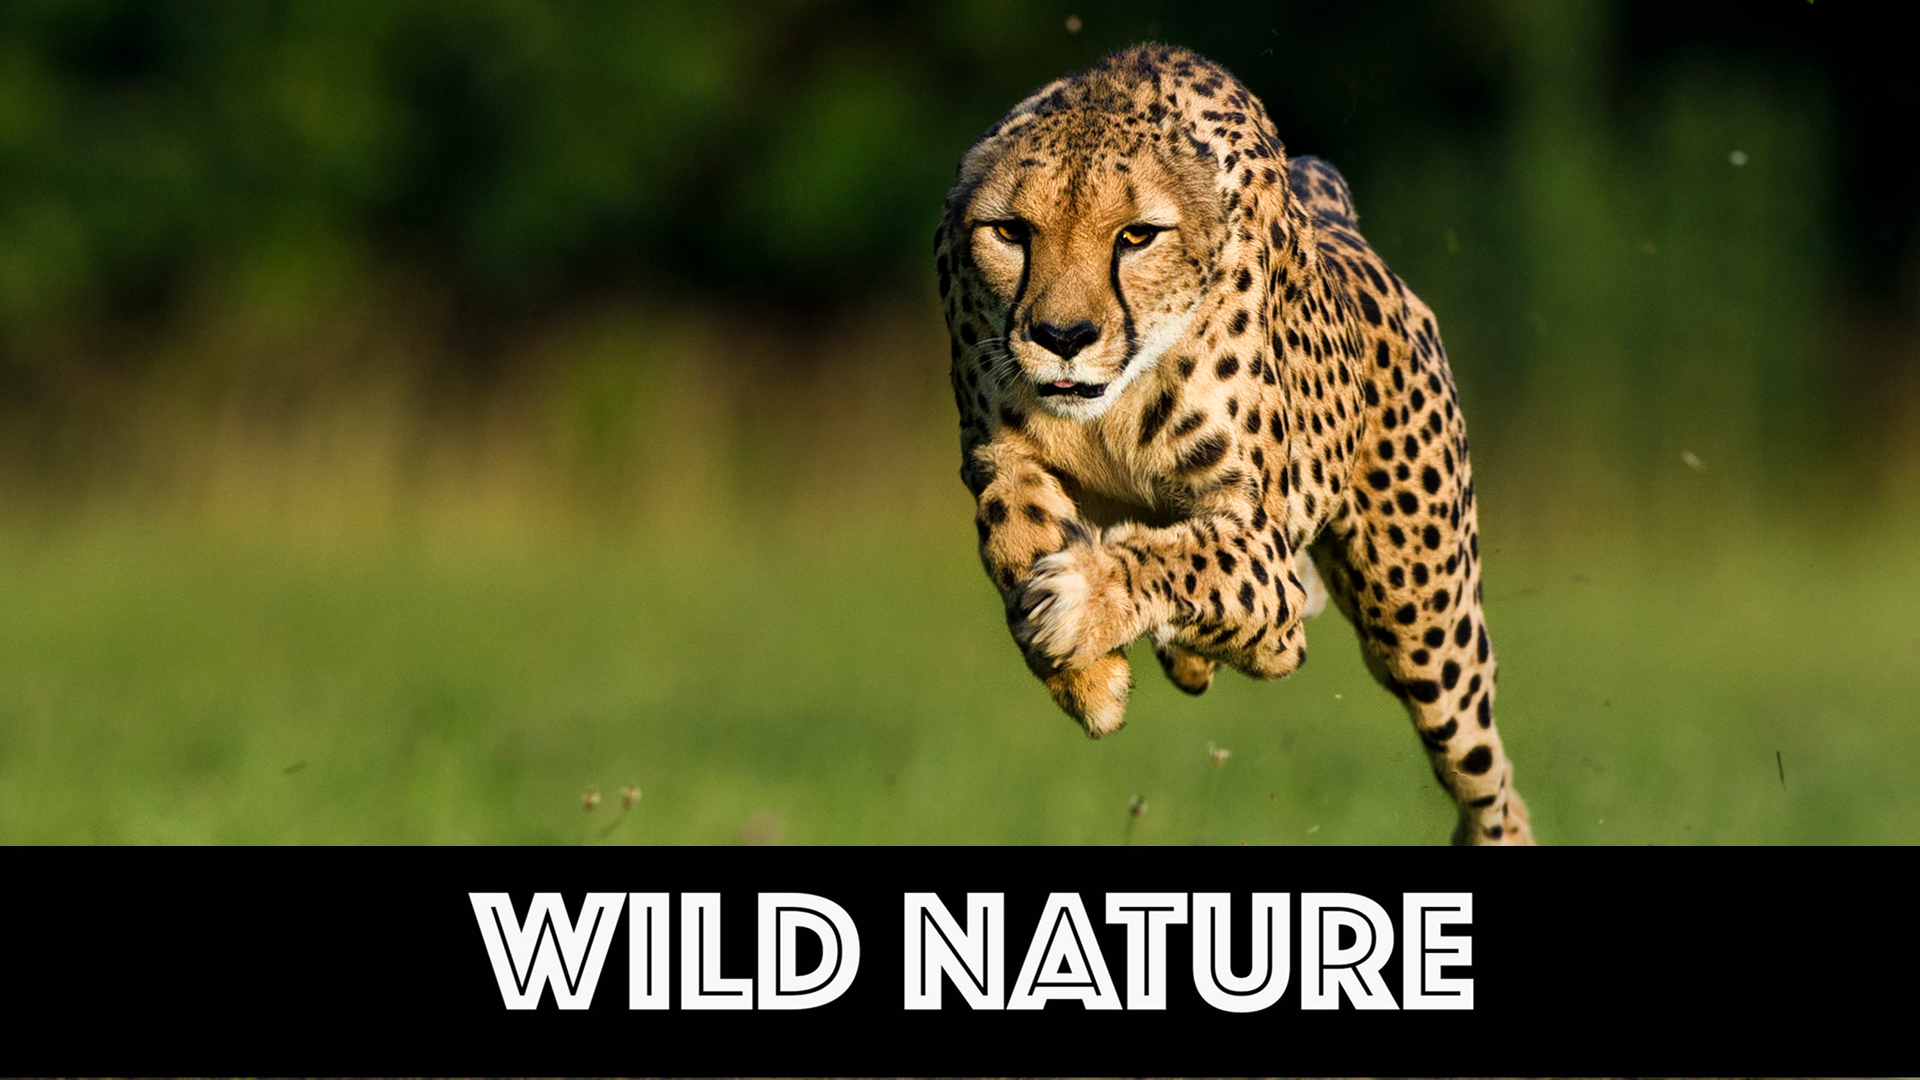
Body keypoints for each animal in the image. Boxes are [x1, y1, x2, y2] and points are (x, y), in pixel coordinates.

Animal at [934, 43, 1532, 845]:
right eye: (1010, 232)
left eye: (1136, 235)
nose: (1062, 337)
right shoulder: (995, 451)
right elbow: (1012, 531)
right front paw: (1088, 678)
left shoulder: (1260, 544)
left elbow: (1193, 562)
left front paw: (1083, 600)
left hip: (1425, 621)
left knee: (1482, 774)